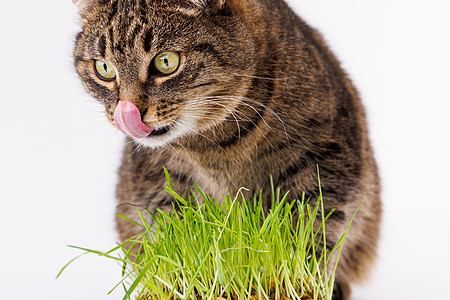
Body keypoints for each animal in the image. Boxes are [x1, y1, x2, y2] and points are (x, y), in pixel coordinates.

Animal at [73, 0, 380, 298]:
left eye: (166, 62)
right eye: (104, 69)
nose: (127, 111)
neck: (217, 143)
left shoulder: (326, 162)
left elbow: (309, 234)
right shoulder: (156, 180)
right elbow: (175, 240)